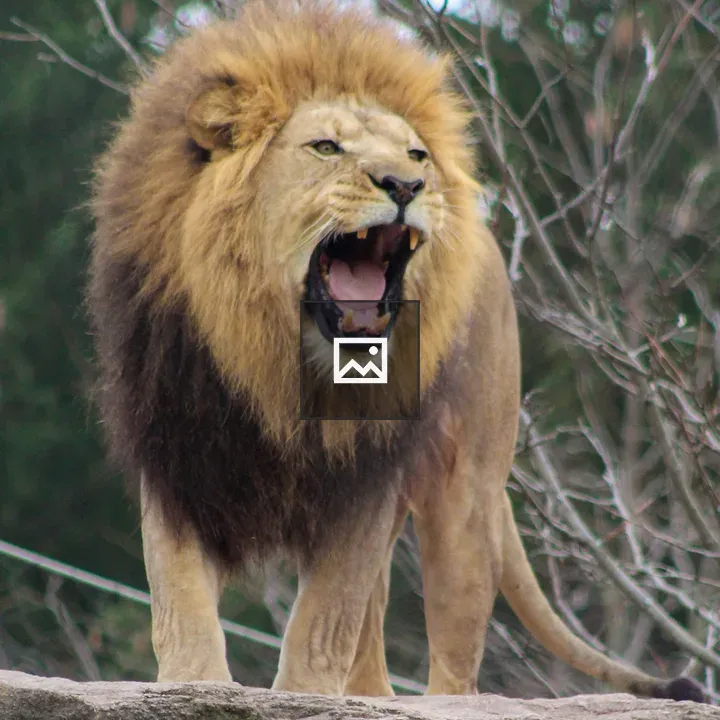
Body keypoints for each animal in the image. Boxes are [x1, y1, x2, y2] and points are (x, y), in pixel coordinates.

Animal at [87, 0, 704, 702]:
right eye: (325, 147)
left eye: (417, 154)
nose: (406, 184)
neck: (280, 365)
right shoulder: (178, 452)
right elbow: (182, 604)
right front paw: (195, 686)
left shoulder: (364, 481)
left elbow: (322, 624)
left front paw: (304, 693)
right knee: (373, 656)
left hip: (466, 498)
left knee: (455, 664)